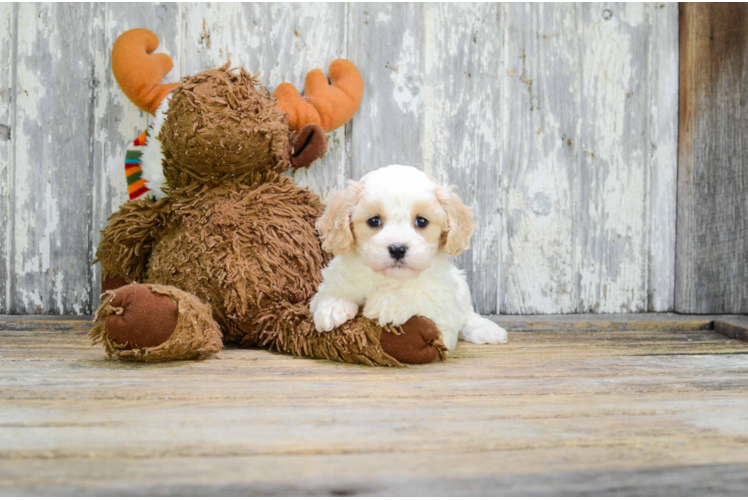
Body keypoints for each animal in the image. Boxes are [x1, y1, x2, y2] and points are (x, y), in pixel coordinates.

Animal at [310, 165, 508, 352]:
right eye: (374, 221)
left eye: (421, 221)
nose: (397, 249)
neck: (388, 278)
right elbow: (329, 292)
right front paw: (333, 307)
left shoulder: (444, 307)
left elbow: (420, 294)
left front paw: (389, 302)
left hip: (461, 287)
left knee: (466, 315)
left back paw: (486, 329)